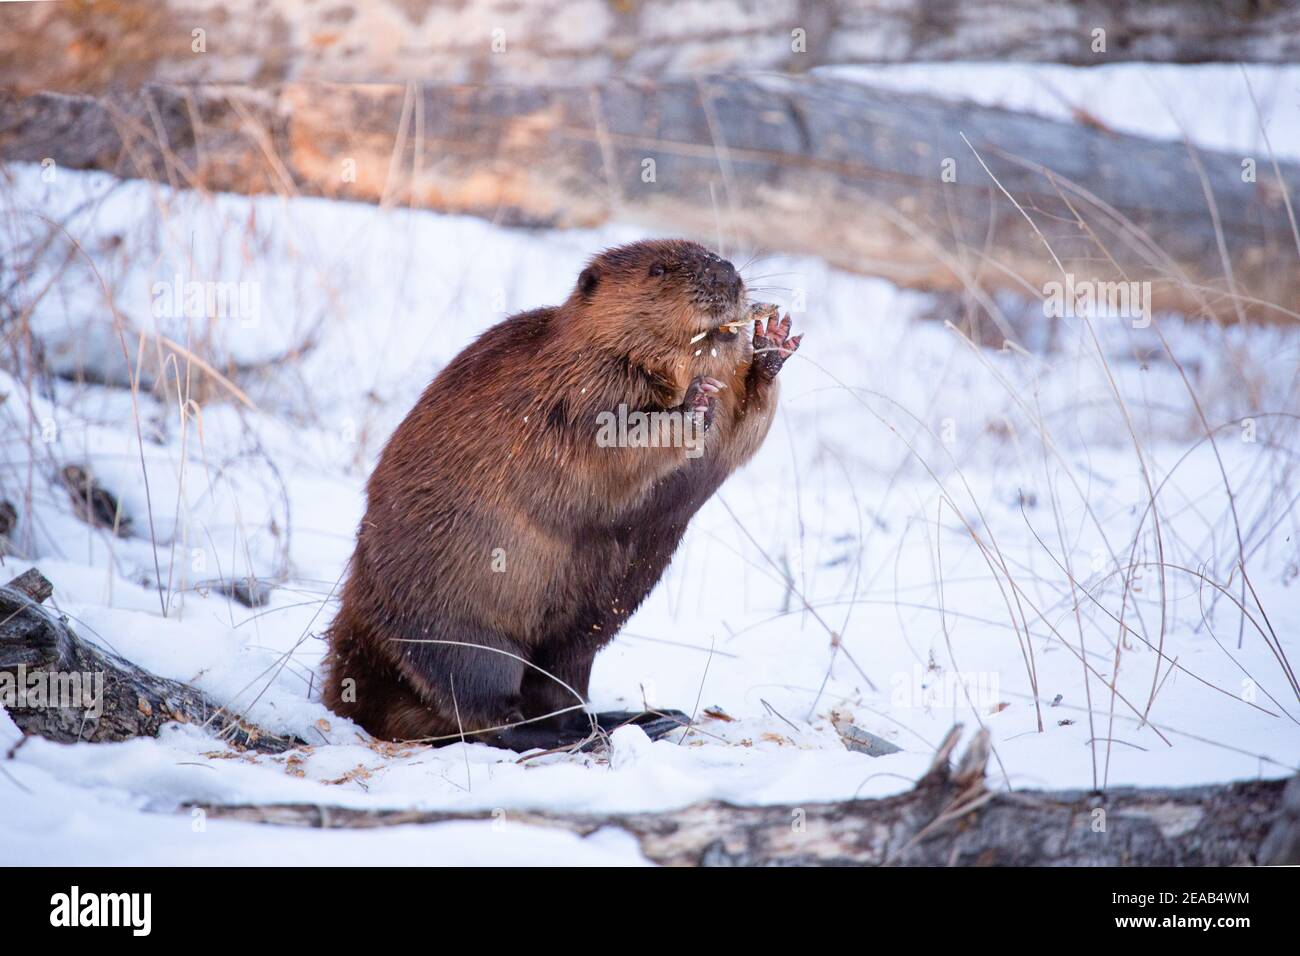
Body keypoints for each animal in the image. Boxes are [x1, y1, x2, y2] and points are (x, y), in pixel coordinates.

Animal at [319, 238, 800, 749]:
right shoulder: (576, 391)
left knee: (558, 688)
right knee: (483, 707)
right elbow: (613, 443)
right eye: (659, 269)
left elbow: (744, 427)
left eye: (713, 254)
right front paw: (694, 401)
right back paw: (571, 734)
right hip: (460, 629)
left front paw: (774, 342)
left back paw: (633, 719)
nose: (727, 276)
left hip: (577, 641)